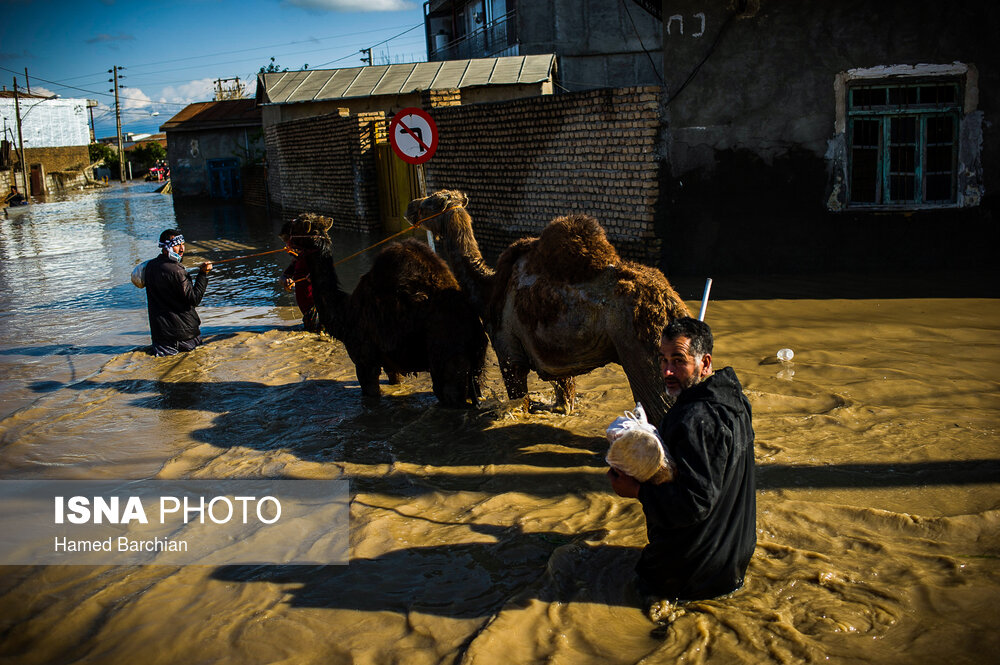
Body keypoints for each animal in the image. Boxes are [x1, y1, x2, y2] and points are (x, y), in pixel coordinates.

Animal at [280, 215, 486, 408]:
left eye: (297, 222)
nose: (283, 228)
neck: (345, 314)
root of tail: (475, 330)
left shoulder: (364, 361)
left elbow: (370, 392)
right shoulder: (391, 362)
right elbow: (396, 381)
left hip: (446, 357)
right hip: (475, 371)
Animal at [402, 189, 692, 422]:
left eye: (432, 200)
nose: (410, 206)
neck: (487, 289)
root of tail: (672, 304)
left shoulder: (509, 352)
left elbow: (519, 399)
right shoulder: (553, 356)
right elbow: (565, 397)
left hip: (642, 349)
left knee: (661, 407)